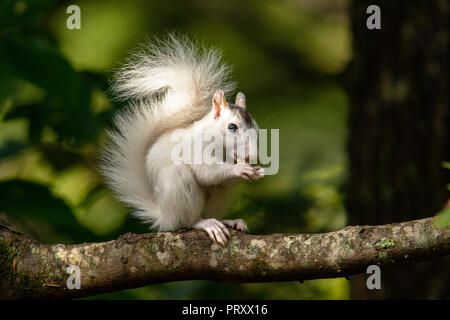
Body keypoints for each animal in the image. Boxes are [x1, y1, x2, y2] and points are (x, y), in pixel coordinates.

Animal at [100, 35, 264, 244]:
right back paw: (205, 223)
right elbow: (206, 172)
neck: (222, 148)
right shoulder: (195, 148)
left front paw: (256, 171)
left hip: (219, 197)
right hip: (178, 185)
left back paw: (229, 221)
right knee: (187, 221)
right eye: (232, 127)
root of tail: (164, 216)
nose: (253, 156)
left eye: (256, 129)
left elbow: (223, 180)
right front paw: (240, 169)